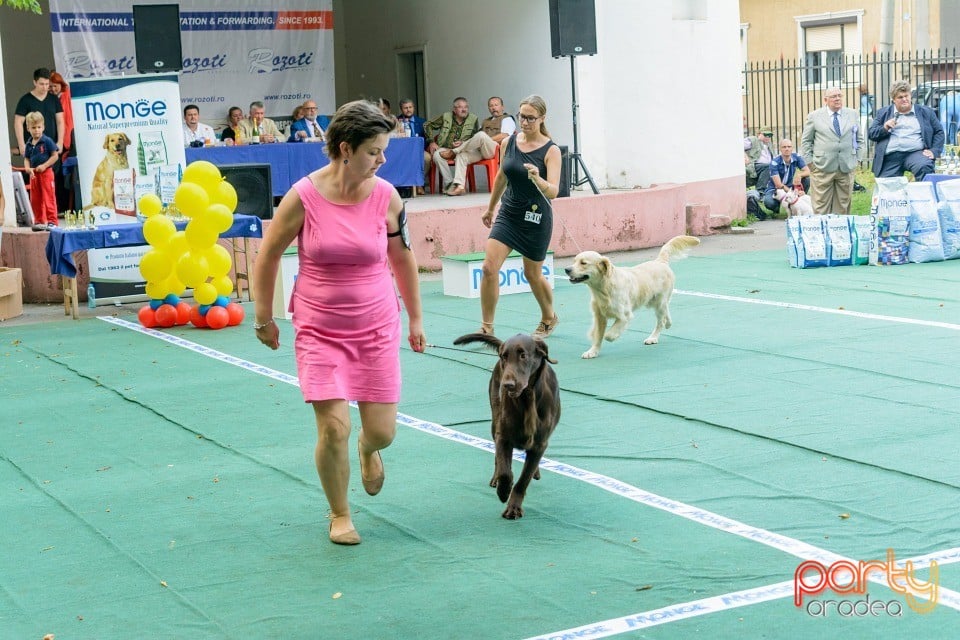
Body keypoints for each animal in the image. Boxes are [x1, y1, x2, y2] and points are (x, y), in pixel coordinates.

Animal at [452, 332, 560, 516]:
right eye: (504, 357)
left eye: (523, 355)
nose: (507, 385)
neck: (527, 399)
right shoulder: (503, 436)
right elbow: (505, 471)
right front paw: (503, 491)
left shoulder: (540, 443)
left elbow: (524, 479)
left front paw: (514, 507)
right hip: (494, 421)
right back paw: (496, 480)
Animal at [568, 235, 700, 358]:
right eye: (574, 261)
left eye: (583, 263)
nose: (566, 269)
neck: (604, 288)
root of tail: (660, 261)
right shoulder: (599, 316)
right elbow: (598, 336)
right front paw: (592, 351)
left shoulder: (624, 315)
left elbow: (608, 335)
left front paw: (611, 336)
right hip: (653, 302)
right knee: (666, 311)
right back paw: (669, 323)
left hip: (659, 302)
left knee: (660, 321)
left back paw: (653, 338)